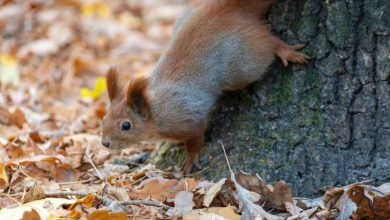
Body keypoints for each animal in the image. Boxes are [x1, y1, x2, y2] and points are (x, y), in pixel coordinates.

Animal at [102, 0, 310, 175]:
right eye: (104, 119)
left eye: (126, 125)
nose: (105, 143)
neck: (156, 110)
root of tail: (225, 10)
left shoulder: (188, 120)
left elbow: (196, 139)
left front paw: (189, 159)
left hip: (243, 64)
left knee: (267, 45)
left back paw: (284, 50)